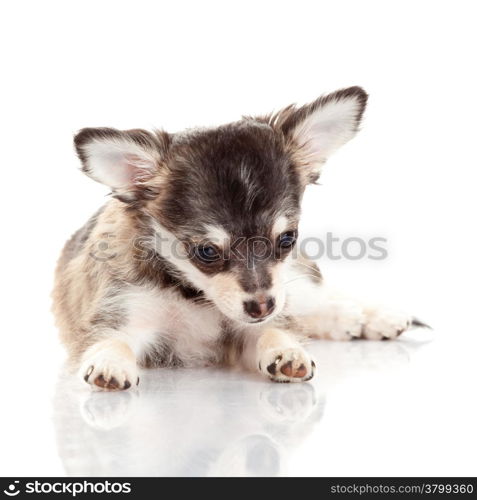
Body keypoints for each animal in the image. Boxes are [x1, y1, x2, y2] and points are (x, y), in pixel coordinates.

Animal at [54, 86, 422, 390]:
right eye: (206, 252)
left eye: (287, 239)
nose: (262, 305)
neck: (197, 295)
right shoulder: (121, 312)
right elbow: (110, 340)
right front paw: (108, 363)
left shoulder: (255, 323)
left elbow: (274, 329)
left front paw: (288, 353)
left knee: (316, 299)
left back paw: (370, 317)